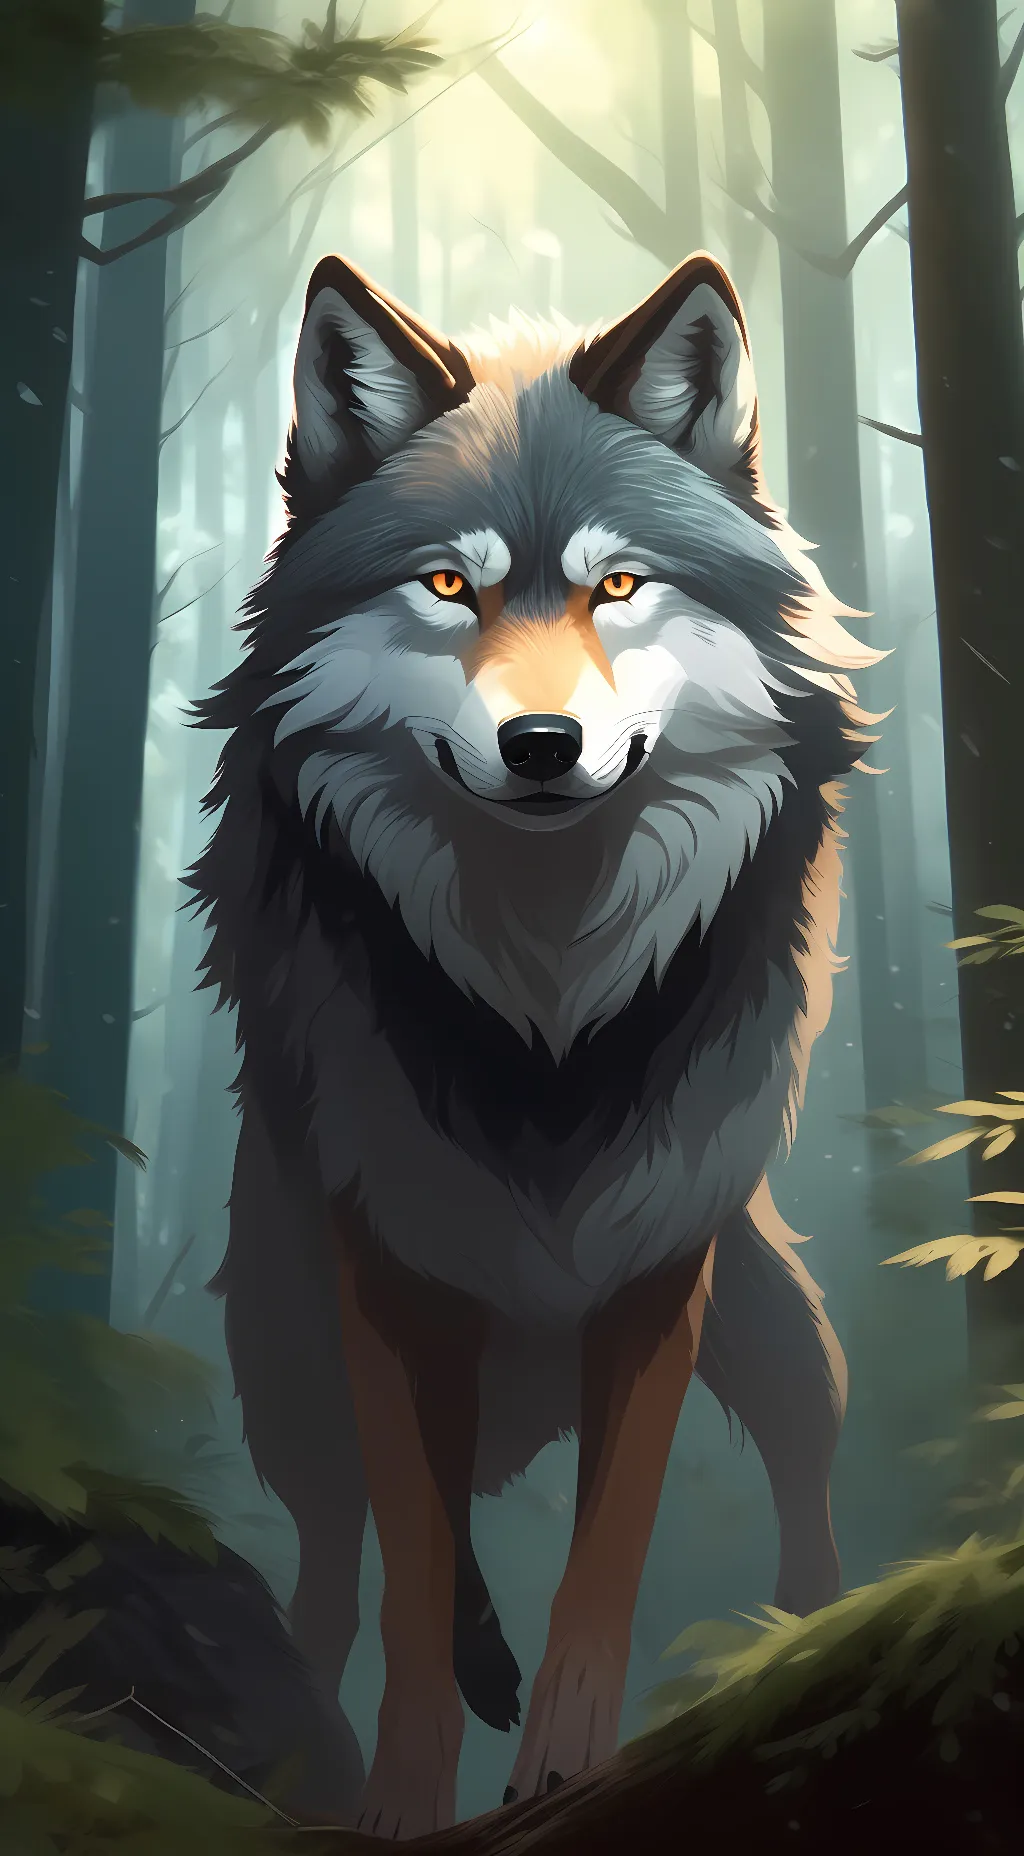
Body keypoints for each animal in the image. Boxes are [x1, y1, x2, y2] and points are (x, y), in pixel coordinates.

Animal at [190, 249, 879, 1837]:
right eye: (450, 585)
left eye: (619, 583)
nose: (545, 745)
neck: (546, 999)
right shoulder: (382, 1261)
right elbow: (413, 1570)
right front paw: (402, 1794)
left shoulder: (657, 1256)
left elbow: (606, 1554)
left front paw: (566, 1756)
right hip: (284, 1349)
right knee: (335, 1562)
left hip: (769, 1308)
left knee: (807, 1459)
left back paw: (808, 1626)